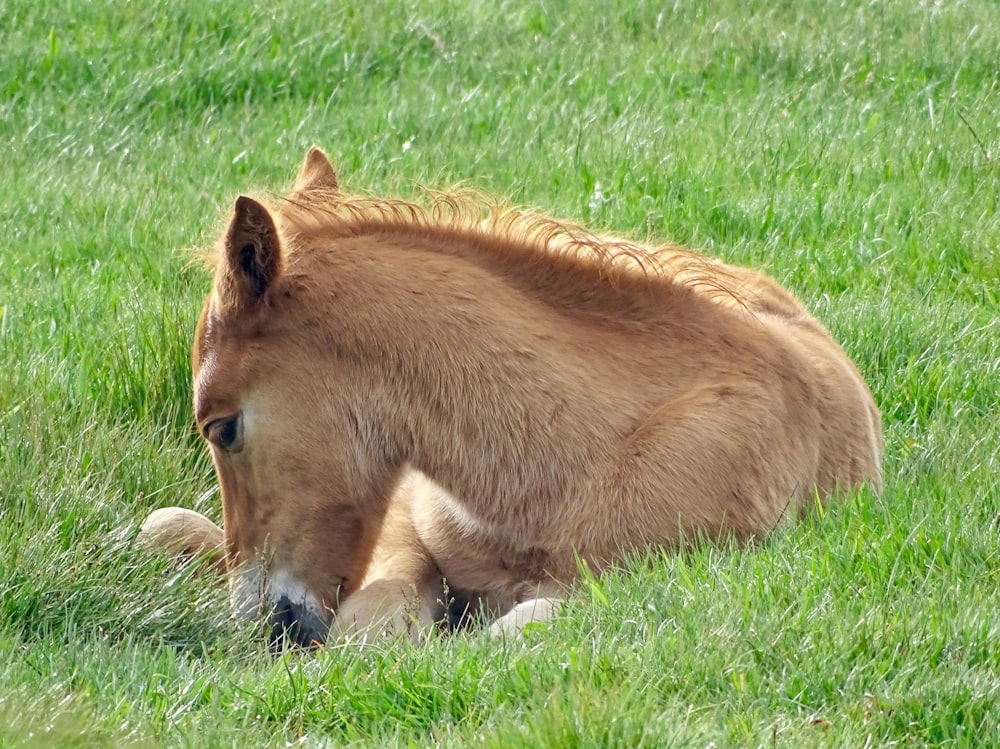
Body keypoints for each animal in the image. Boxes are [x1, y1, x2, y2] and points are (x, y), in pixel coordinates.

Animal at [178, 145, 876, 644]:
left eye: (222, 428)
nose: (263, 622)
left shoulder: (675, 570)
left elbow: (522, 624)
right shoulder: (402, 524)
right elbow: (371, 623)